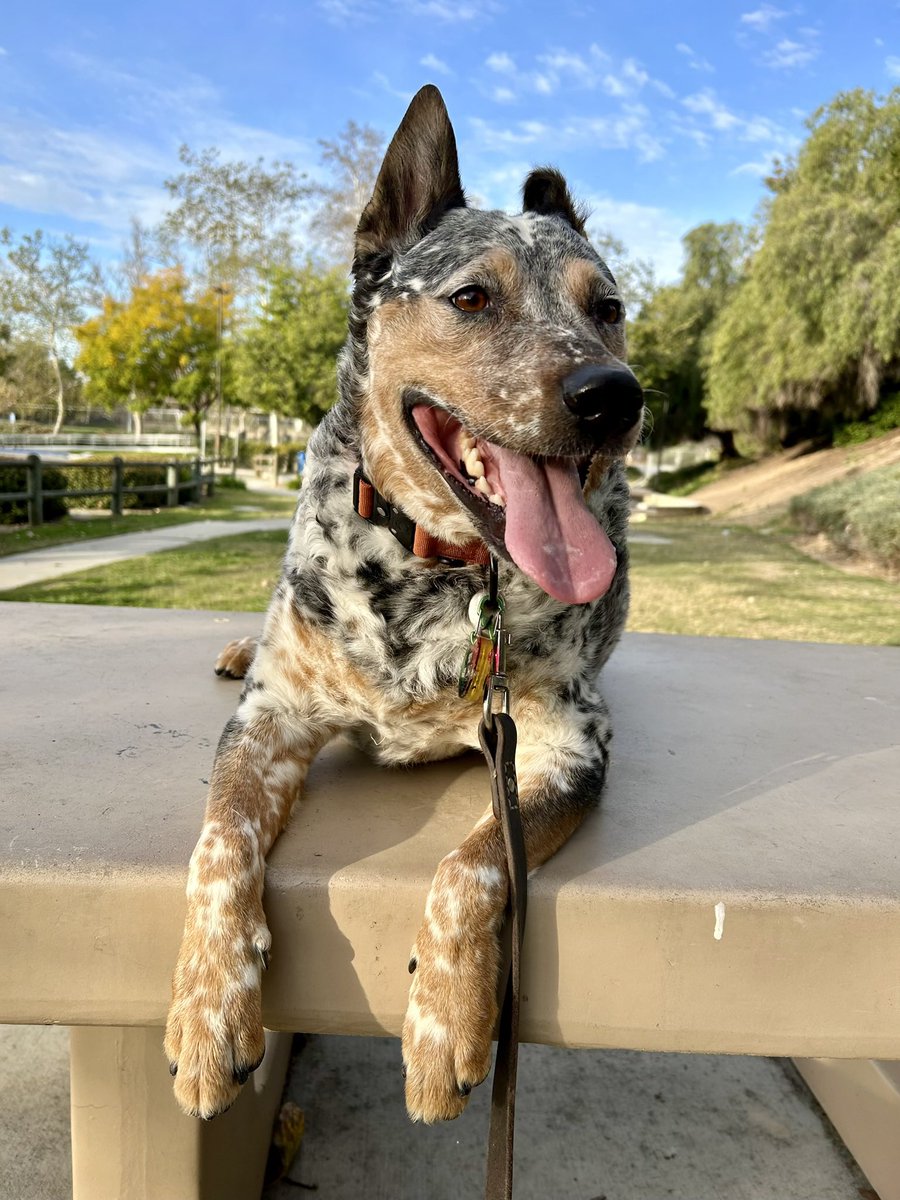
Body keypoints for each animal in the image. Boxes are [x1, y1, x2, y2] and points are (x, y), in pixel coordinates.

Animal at [165, 84, 643, 1123]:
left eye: (610, 309)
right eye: (471, 297)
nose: (614, 395)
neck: (436, 569)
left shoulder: (567, 742)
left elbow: (472, 863)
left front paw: (445, 1021)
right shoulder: (268, 722)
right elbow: (219, 842)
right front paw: (210, 1008)